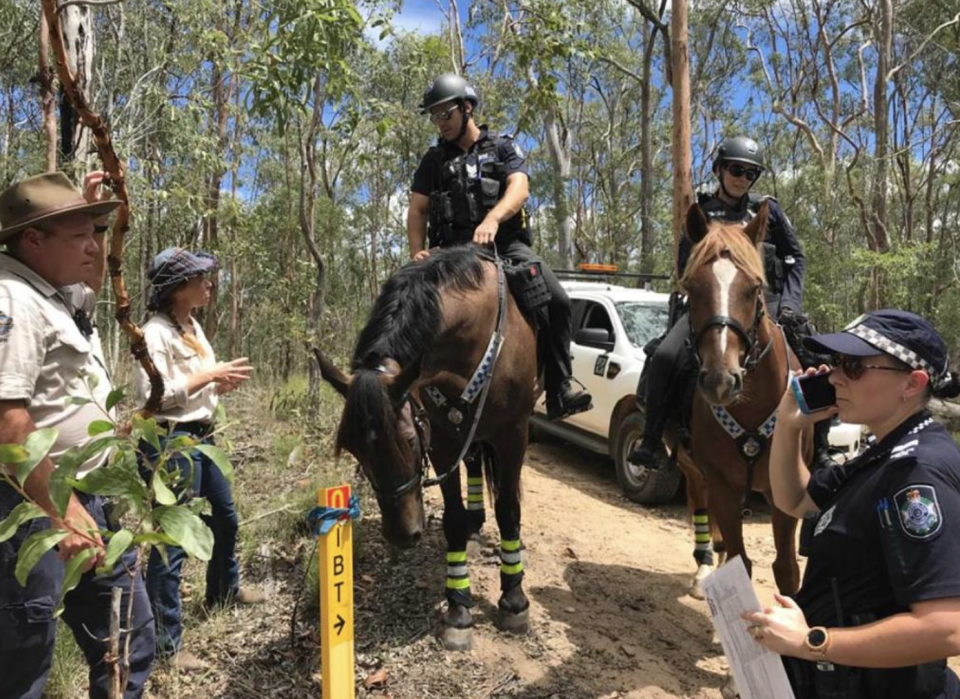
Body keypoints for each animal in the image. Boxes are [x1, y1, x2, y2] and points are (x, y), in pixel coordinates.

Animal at [316, 246, 536, 652]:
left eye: (407, 440)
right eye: (356, 451)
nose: (402, 536)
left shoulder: (514, 433)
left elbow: (510, 509)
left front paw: (514, 598)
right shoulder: (444, 438)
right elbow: (452, 518)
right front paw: (459, 606)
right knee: (475, 463)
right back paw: (475, 526)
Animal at [676, 200, 808, 600]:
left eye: (753, 289)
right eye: (692, 287)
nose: (721, 381)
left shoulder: (785, 491)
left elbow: (786, 569)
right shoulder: (720, 480)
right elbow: (741, 562)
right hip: (694, 470)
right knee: (704, 512)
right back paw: (705, 569)